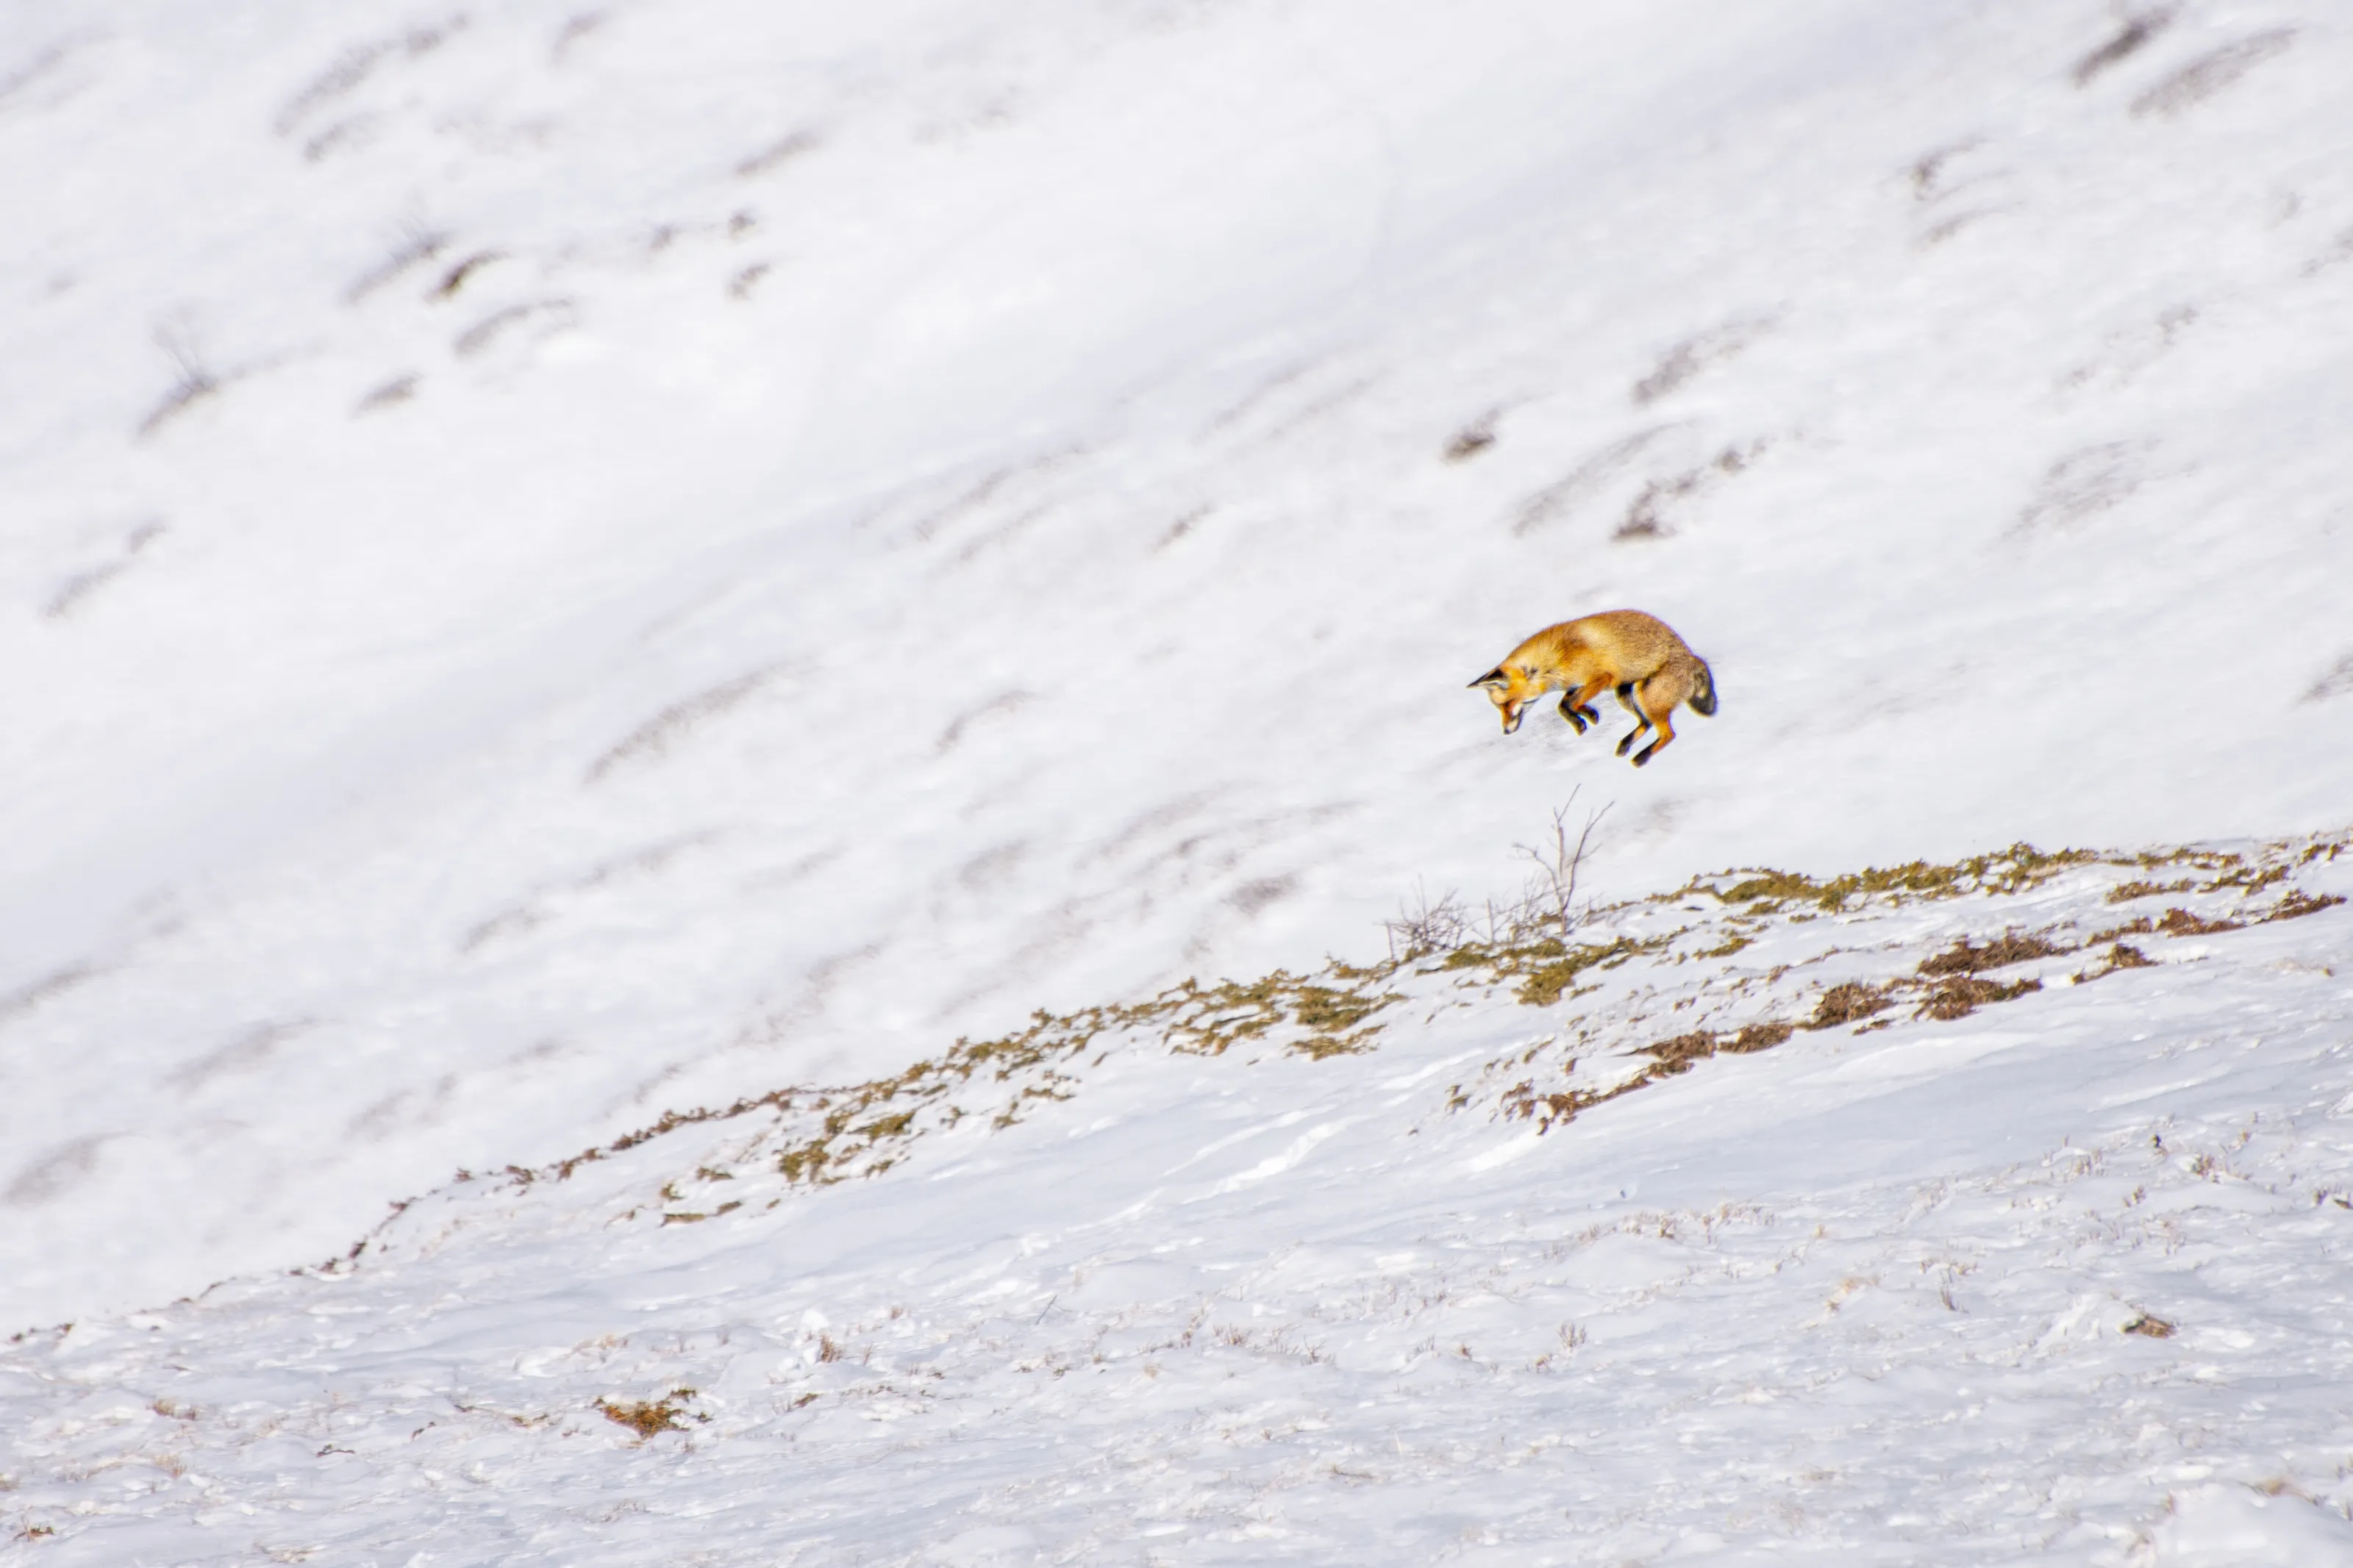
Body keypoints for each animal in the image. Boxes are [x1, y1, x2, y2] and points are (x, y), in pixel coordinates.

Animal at [1469, 609, 1717, 767]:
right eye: (1499, 708)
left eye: (1506, 704)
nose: (1505, 731)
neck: (1556, 659)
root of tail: (1693, 658)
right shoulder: (1578, 684)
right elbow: (1563, 706)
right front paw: (1581, 722)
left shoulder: (1603, 678)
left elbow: (1572, 702)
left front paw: (1589, 715)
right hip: (1625, 693)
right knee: (1646, 724)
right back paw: (1626, 745)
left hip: (1646, 695)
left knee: (1668, 734)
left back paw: (1642, 758)